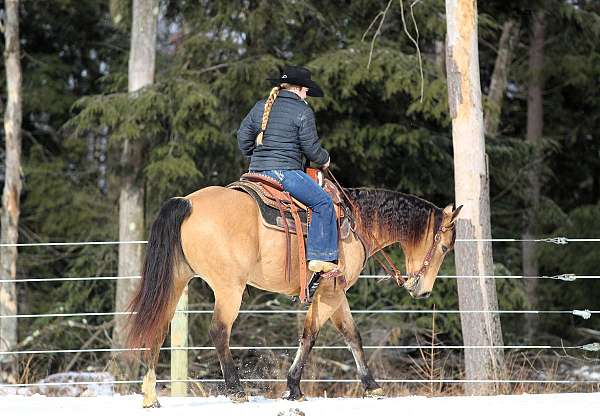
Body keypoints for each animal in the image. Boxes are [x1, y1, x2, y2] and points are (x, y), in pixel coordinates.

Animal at [126, 176, 462, 406]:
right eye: (445, 247)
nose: (423, 291)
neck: (357, 223)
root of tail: (188, 202)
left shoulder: (337, 295)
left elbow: (352, 336)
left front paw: (371, 385)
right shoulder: (329, 293)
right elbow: (311, 335)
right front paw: (294, 387)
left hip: (176, 280)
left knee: (157, 329)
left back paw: (150, 395)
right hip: (229, 288)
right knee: (219, 331)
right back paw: (236, 389)